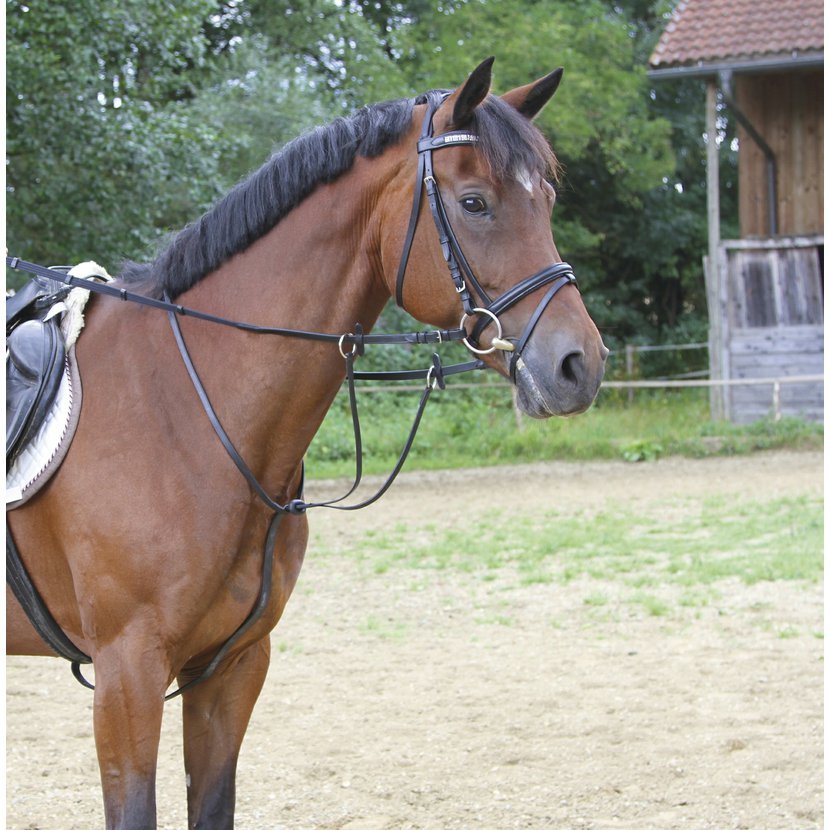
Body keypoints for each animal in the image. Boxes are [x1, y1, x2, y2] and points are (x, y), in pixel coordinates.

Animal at [6, 57, 607, 829]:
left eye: (548, 200)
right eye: (475, 203)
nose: (579, 364)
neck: (180, 408)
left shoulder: (231, 667)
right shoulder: (126, 674)